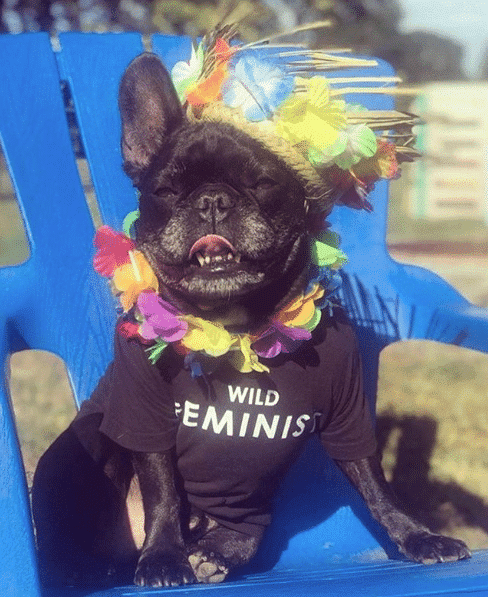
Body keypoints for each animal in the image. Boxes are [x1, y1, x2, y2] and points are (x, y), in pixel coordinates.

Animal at [31, 39, 472, 588]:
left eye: (261, 183)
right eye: (166, 191)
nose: (212, 200)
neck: (236, 322)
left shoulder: (350, 416)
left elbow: (376, 484)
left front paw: (417, 535)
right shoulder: (145, 417)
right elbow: (161, 492)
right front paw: (163, 557)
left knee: (234, 535)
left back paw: (211, 554)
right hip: (88, 446)